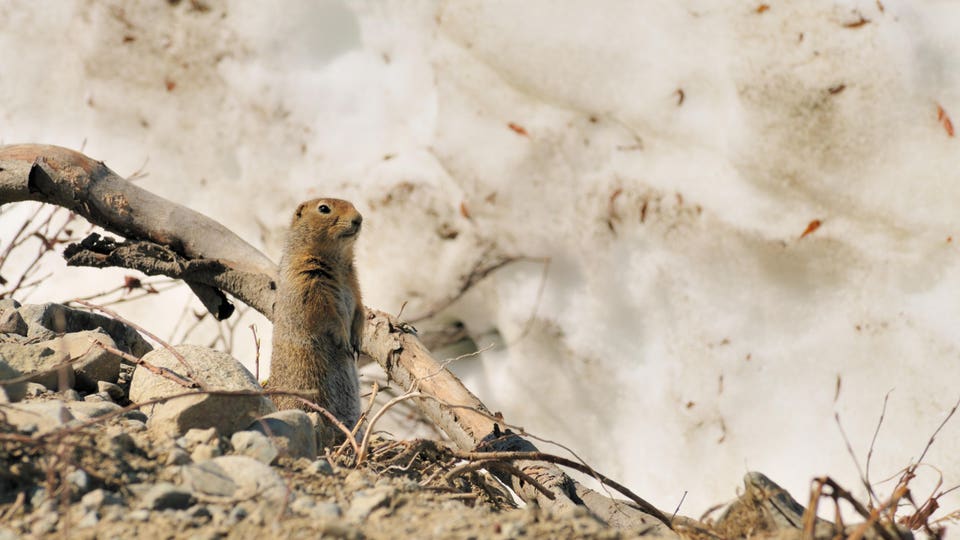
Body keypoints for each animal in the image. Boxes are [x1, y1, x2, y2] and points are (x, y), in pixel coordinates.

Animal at [269, 198, 365, 432]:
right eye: (323, 208)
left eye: (353, 204)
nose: (359, 219)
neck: (338, 260)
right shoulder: (307, 281)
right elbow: (326, 313)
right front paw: (344, 339)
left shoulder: (354, 282)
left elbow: (360, 308)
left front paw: (357, 339)